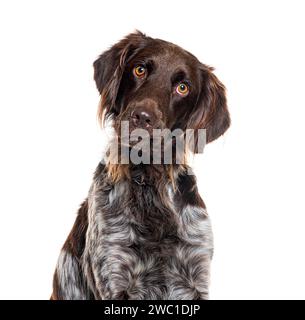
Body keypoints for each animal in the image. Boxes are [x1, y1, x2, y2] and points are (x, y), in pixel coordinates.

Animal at [51, 31, 229, 298]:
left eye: (183, 87)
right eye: (140, 69)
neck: (148, 181)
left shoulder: (195, 274)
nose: (143, 117)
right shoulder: (115, 274)